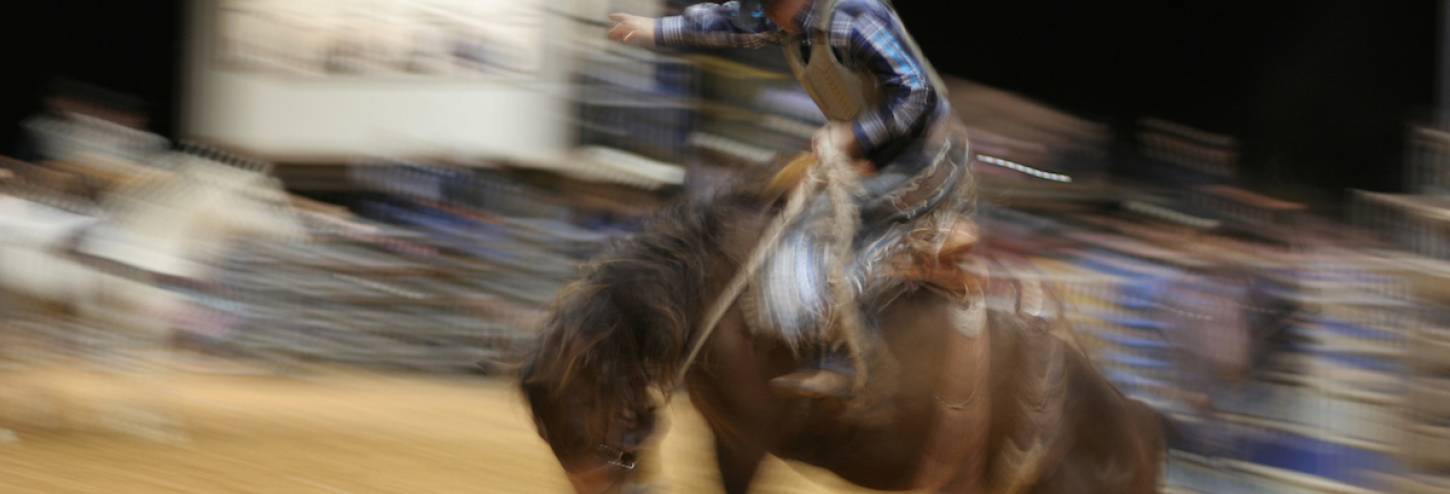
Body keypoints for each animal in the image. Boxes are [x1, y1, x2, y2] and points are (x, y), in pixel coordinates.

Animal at [516, 182, 1160, 489]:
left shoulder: (748, 439)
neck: (718, 293)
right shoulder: (729, 436)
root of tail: (1135, 423)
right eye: (546, 435)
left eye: (578, 419)